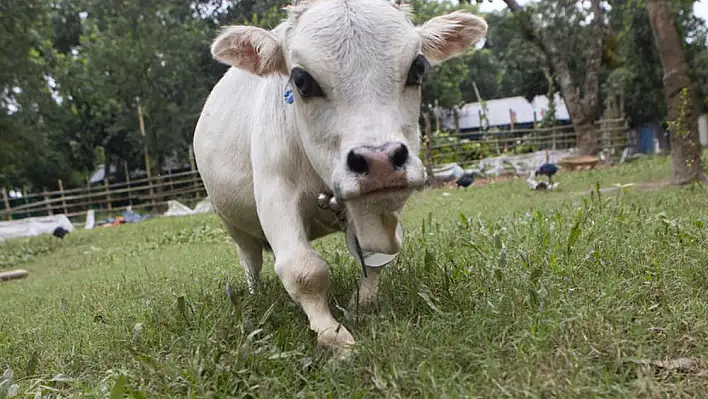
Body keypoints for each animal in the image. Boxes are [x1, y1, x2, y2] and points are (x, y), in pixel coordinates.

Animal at [196, 0, 490, 360]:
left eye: (418, 68)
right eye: (301, 80)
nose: (380, 160)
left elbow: (377, 255)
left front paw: (362, 305)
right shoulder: (276, 193)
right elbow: (303, 270)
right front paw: (333, 336)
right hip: (233, 224)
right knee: (250, 261)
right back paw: (256, 295)